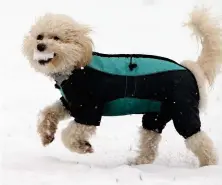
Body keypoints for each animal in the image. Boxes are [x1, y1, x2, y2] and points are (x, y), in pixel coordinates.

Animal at [21, 6, 221, 166]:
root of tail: (190, 70)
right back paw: (140, 162)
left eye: (57, 38)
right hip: (157, 113)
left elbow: (69, 135)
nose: (40, 45)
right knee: (150, 139)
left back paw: (208, 166)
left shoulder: (90, 110)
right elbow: (48, 112)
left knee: (198, 139)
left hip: (182, 110)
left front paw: (83, 147)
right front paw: (47, 133)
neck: (75, 68)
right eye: (39, 36)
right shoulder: (71, 103)